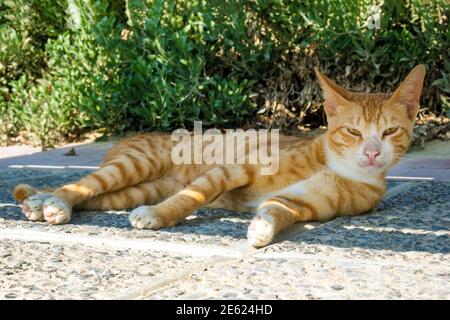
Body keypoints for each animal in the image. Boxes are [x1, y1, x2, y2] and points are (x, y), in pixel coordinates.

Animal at [11, 65, 426, 248]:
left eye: (390, 132)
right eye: (353, 132)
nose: (371, 153)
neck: (334, 165)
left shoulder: (304, 203)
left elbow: (277, 208)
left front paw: (261, 228)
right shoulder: (231, 170)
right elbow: (190, 197)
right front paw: (160, 217)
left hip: (137, 188)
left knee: (100, 198)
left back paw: (42, 204)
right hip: (134, 164)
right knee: (82, 184)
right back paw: (49, 200)